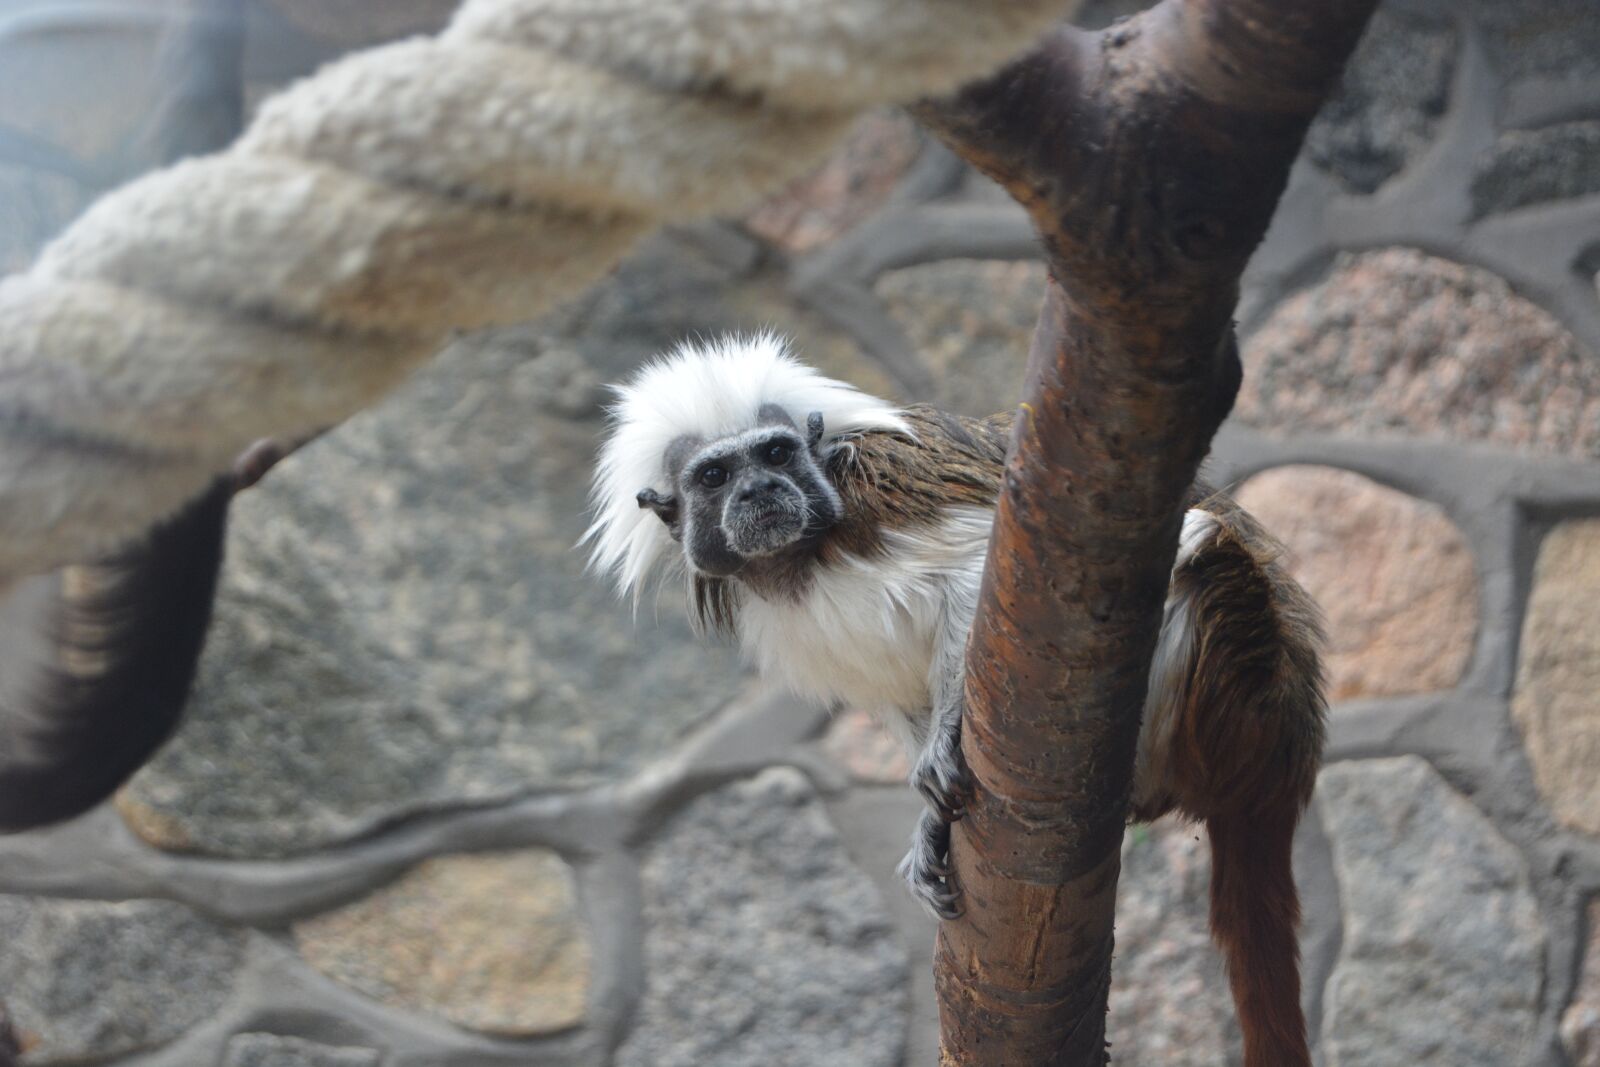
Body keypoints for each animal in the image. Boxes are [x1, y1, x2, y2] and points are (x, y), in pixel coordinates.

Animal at [586, 332, 1326, 1067]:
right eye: (715, 476)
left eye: (774, 453)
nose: (761, 489)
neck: (802, 558)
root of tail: (1283, 756)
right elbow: (896, 693)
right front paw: (930, 825)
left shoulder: (885, 490)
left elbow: (976, 571)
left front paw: (945, 743)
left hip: (1232, 694)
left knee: (1197, 543)